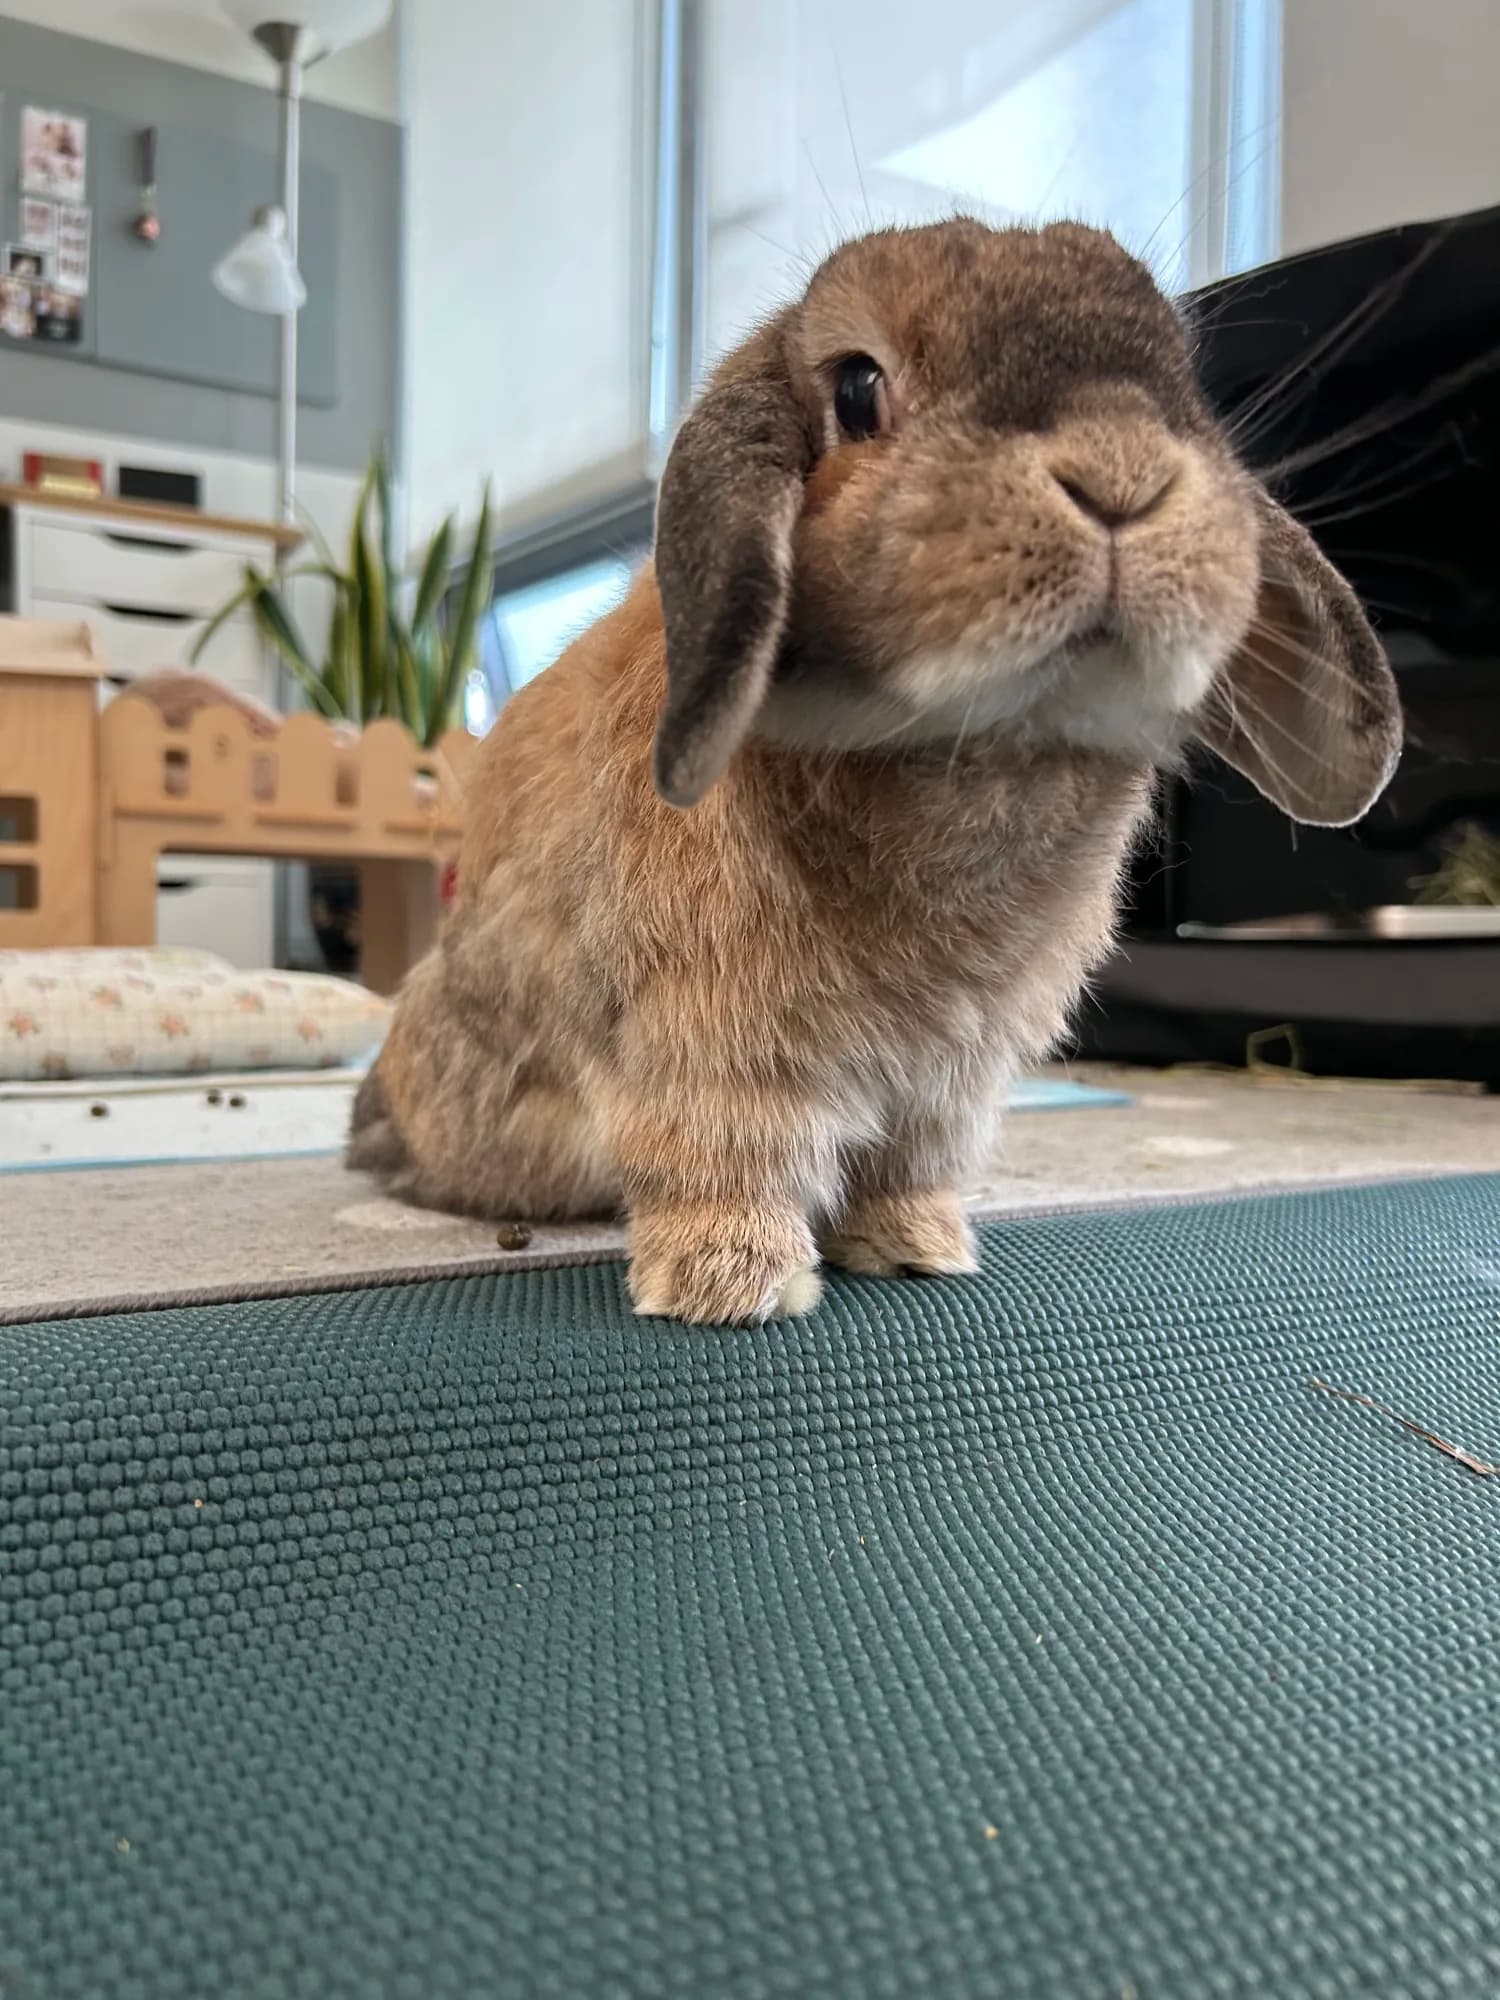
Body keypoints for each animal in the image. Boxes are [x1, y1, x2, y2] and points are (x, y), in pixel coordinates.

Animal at [350, 218, 1401, 1326]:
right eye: (859, 388)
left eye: (1183, 384)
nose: (1122, 474)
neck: (984, 751)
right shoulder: (709, 1049)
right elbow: (724, 1157)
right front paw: (735, 1283)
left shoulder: (949, 1082)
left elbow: (911, 1166)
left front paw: (916, 1249)